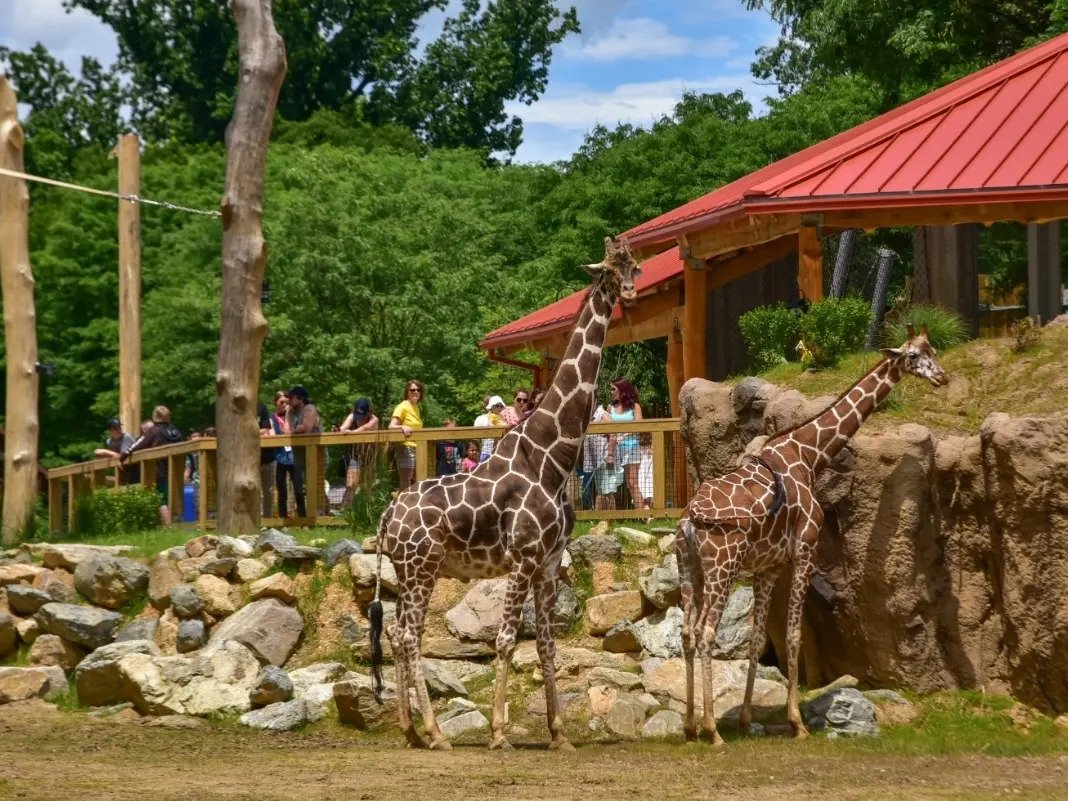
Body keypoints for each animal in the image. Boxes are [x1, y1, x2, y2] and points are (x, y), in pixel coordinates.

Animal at [369, 234, 640, 751]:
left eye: (634, 264)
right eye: (612, 268)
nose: (633, 291)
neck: (553, 456)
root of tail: (387, 515)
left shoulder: (549, 563)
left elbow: (548, 644)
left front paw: (559, 734)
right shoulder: (523, 557)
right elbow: (506, 639)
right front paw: (499, 733)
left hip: (405, 571)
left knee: (395, 633)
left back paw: (411, 730)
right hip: (421, 568)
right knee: (410, 636)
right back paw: (436, 733)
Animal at [679, 324, 948, 747]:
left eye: (932, 350)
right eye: (915, 356)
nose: (942, 377)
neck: (810, 453)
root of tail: (690, 519)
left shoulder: (769, 565)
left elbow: (758, 639)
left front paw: (746, 720)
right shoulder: (805, 550)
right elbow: (792, 636)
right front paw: (797, 723)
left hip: (689, 570)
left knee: (687, 632)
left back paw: (690, 727)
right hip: (722, 568)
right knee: (706, 632)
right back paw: (711, 730)